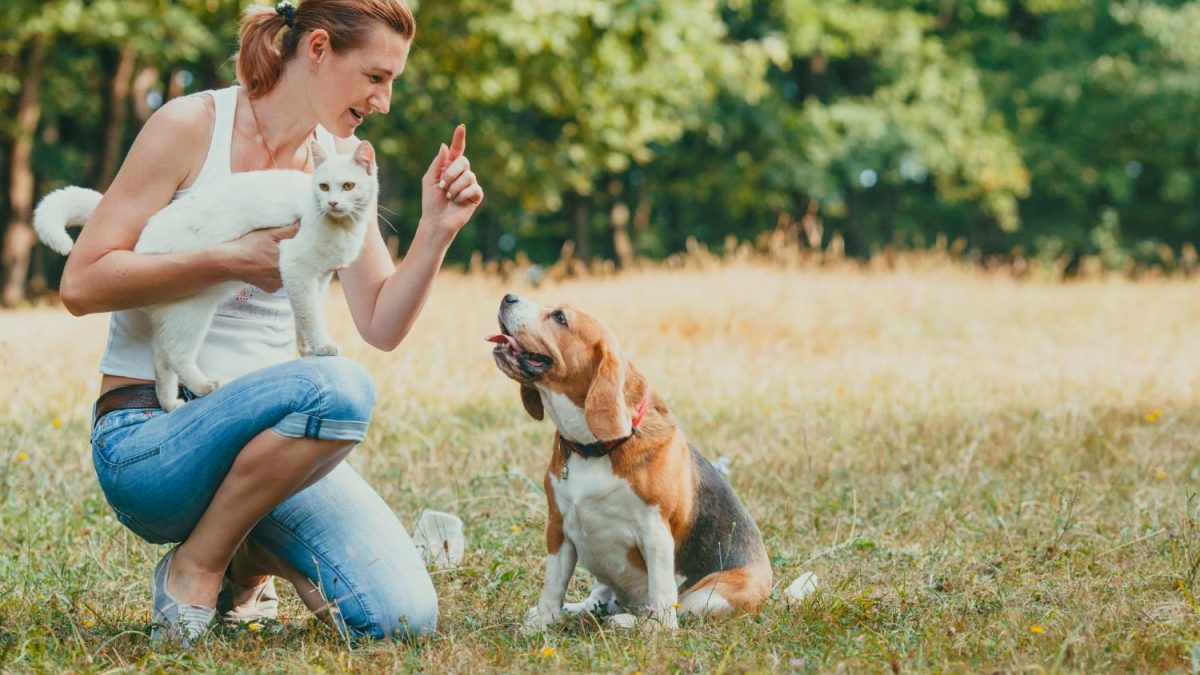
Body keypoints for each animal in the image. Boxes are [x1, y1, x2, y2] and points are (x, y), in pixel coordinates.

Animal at [35, 140, 376, 410]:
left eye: (348, 186)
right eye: (323, 186)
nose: (332, 202)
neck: (341, 227)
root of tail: (140, 245)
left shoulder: (318, 278)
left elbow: (305, 317)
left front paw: (307, 349)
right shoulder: (296, 269)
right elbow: (310, 316)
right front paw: (322, 347)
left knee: (161, 359)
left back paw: (171, 404)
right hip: (194, 313)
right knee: (175, 355)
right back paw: (204, 386)